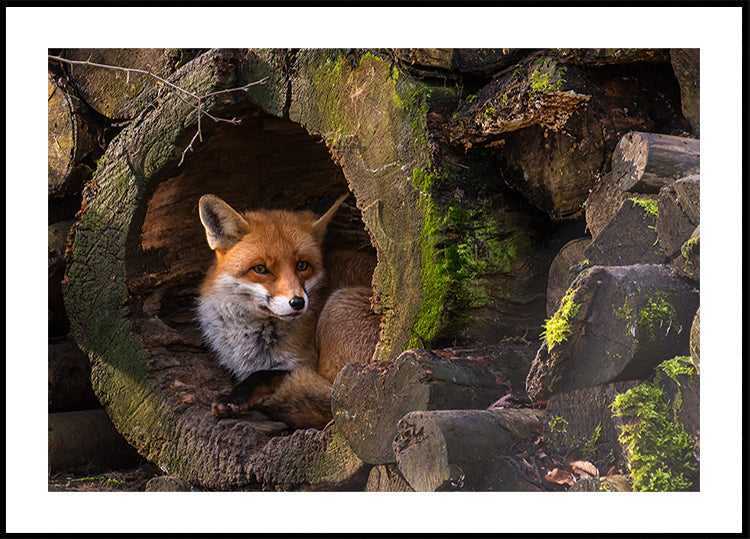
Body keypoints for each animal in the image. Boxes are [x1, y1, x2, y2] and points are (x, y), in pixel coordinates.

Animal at [196, 193, 381, 430]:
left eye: (302, 265)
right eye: (260, 269)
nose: (298, 302)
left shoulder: (304, 363)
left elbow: (264, 375)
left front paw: (234, 397)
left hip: (339, 312)